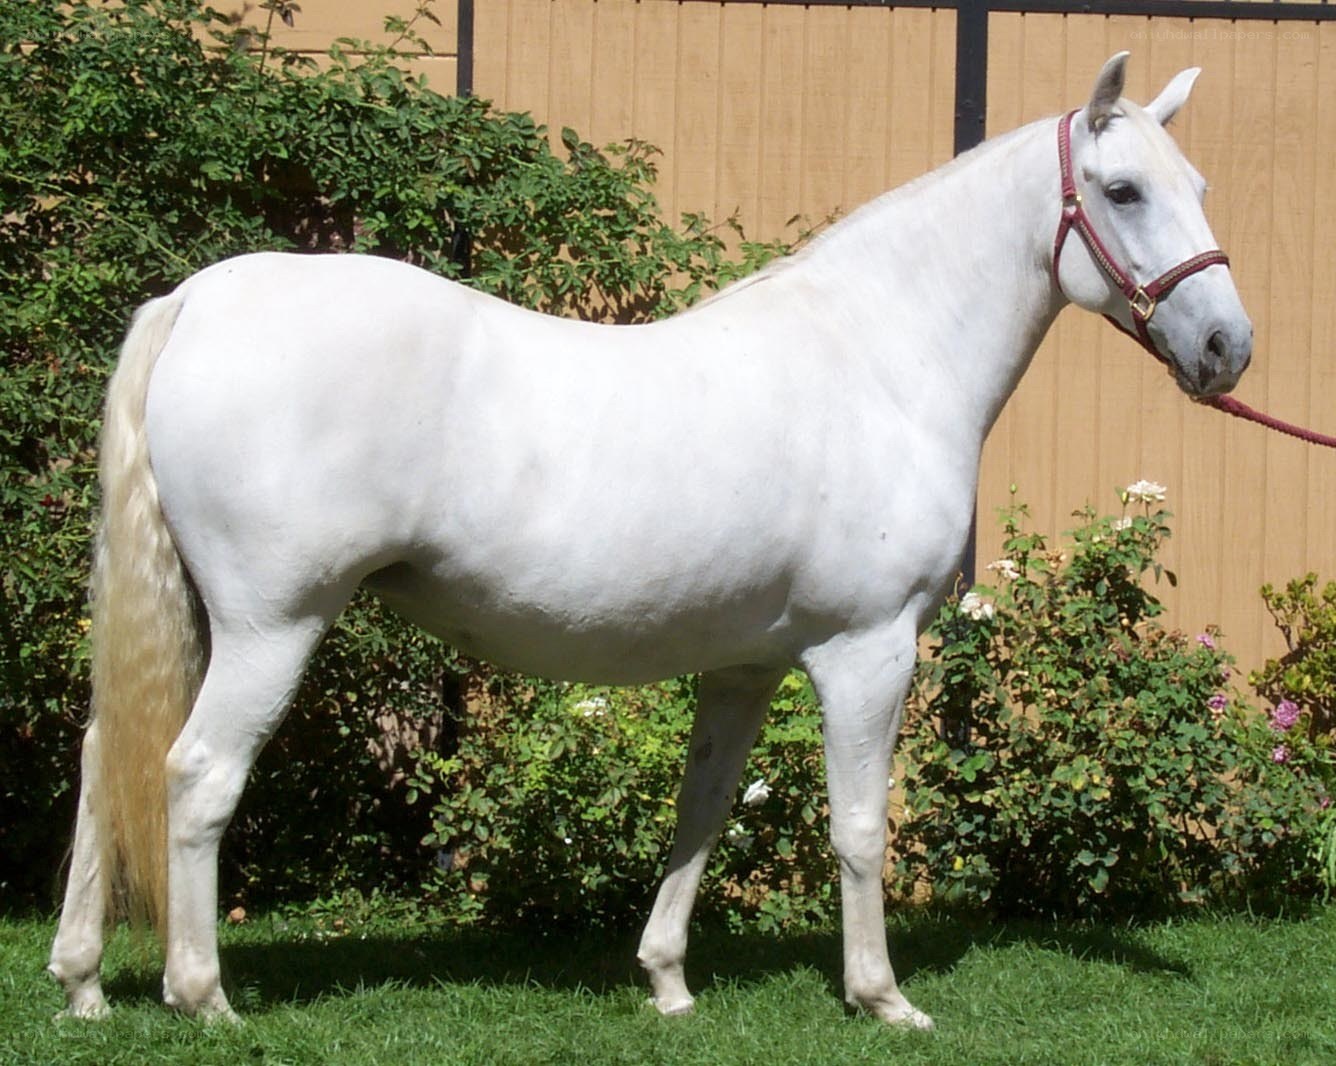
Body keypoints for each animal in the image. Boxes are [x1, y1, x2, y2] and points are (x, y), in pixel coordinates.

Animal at [49, 53, 1251, 1028]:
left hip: (198, 616)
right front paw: (882, 997)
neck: (879, 357)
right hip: (273, 624)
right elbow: (861, 827)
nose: (1227, 348)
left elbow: (702, 813)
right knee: (196, 774)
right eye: (1123, 190)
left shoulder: (744, 666)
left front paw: (667, 981)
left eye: (1198, 187)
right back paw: (202, 996)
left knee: (105, 755)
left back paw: (82, 982)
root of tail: (199, 299)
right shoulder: (868, 652)